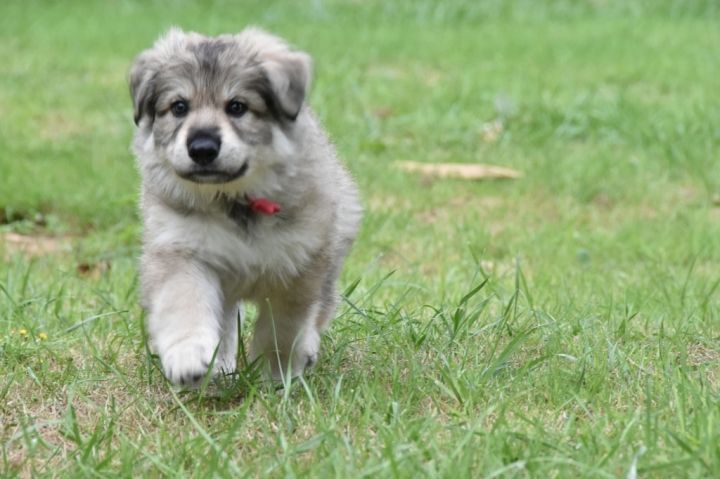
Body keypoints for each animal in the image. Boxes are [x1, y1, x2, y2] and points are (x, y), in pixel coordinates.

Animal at [129, 27, 361, 385]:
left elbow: (283, 329)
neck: (234, 198)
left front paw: (275, 376)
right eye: (179, 107)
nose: (202, 147)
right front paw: (188, 357)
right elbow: (185, 304)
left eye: (237, 107)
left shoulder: (299, 268)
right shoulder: (180, 251)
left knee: (320, 309)